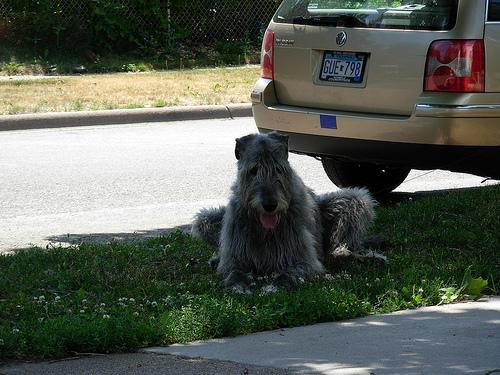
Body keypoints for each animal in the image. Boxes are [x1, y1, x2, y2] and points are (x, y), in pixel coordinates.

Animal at [191, 132, 382, 294]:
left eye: (278, 168)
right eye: (253, 170)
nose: (270, 205)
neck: (265, 229)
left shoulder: (303, 259)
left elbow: (289, 273)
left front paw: (273, 287)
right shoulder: (235, 255)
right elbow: (233, 270)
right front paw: (238, 286)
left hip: (357, 200)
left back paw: (354, 253)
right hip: (205, 219)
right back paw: (216, 259)